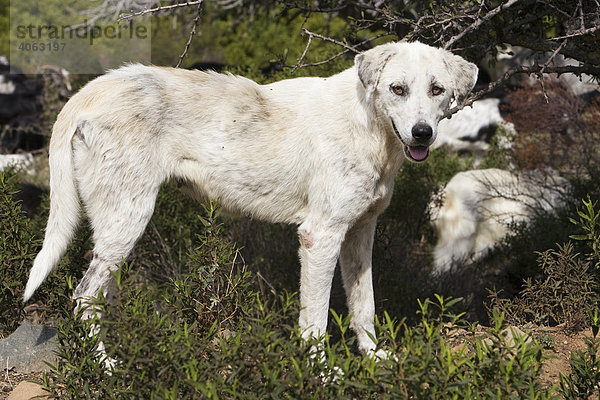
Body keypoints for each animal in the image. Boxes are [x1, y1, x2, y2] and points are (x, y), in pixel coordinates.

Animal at [23, 42, 476, 358]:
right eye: (397, 89)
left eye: (437, 90)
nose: (422, 133)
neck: (368, 126)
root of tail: (93, 89)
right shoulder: (320, 237)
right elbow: (315, 321)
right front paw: (323, 375)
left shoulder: (359, 234)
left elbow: (364, 308)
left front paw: (375, 360)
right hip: (126, 222)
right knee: (84, 300)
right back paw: (106, 369)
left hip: (119, 233)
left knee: (101, 300)